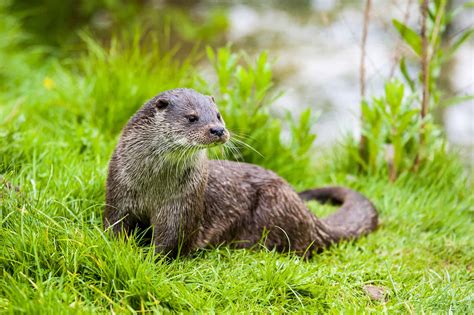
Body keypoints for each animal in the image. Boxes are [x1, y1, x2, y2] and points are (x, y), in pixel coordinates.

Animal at [104, 87, 378, 258]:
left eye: (218, 115)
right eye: (191, 117)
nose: (218, 130)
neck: (153, 185)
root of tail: (309, 215)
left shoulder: (182, 206)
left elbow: (171, 242)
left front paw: (150, 260)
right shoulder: (119, 191)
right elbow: (114, 225)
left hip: (276, 206)